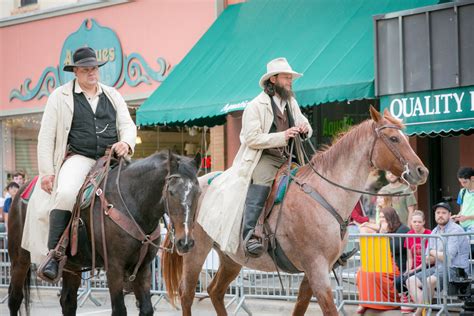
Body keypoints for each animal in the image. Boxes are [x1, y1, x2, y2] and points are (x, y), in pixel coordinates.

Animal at [7, 151, 201, 316]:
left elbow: (146, 309)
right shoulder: (114, 268)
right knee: (14, 299)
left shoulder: (143, 268)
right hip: (20, 259)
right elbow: (119, 310)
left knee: (68, 302)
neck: (131, 202)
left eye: (198, 193)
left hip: (72, 265)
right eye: (171, 192)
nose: (185, 242)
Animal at [162, 107, 430, 314]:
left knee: (215, 291)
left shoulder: (315, 272)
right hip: (195, 252)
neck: (325, 194)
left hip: (231, 257)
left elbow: (300, 306)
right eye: (393, 139)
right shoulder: (317, 269)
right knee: (187, 294)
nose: (421, 171)